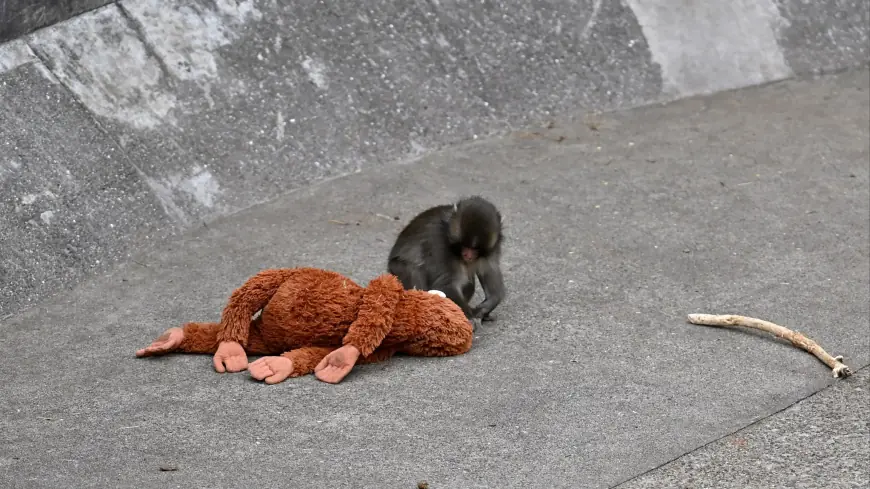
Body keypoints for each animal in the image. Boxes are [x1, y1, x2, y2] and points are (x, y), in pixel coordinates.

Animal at [387, 195, 505, 329]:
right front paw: (468, 317)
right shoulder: (438, 241)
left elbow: (489, 273)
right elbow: (446, 284)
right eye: (464, 245)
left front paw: (483, 309)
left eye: (476, 249)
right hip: (396, 269)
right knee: (414, 272)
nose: (468, 255)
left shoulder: (493, 248)